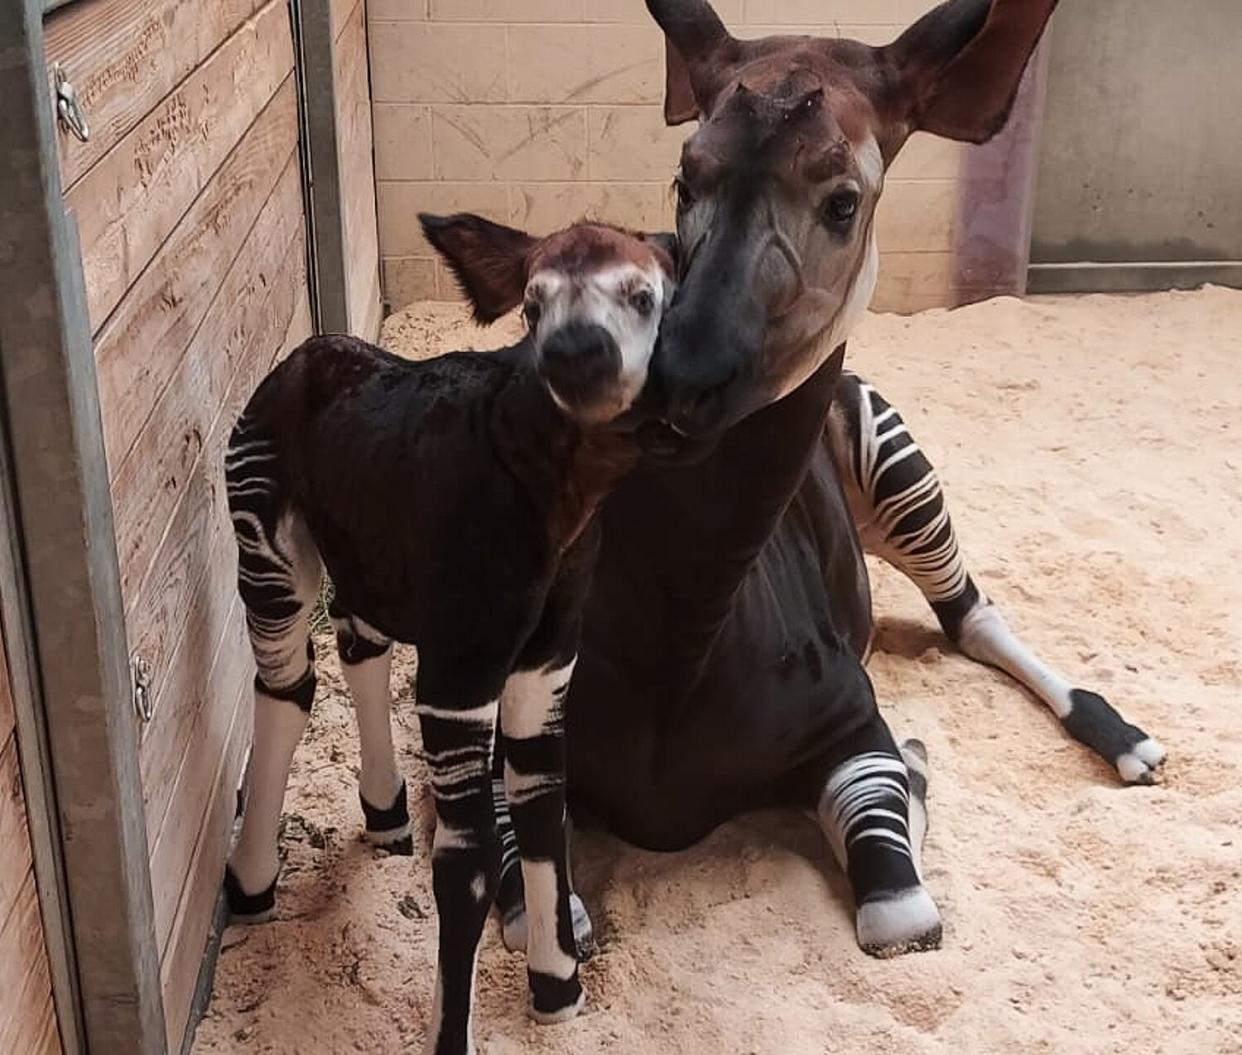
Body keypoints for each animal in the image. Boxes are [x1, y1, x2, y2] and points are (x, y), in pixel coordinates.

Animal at [221, 213, 670, 1053]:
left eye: (645, 295)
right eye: (533, 304)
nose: (577, 354)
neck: (555, 504)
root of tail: (303, 354)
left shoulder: (545, 664)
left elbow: (544, 813)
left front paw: (558, 986)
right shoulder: (461, 673)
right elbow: (465, 865)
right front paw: (452, 1033)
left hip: (362, 557)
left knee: (357, 645)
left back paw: (385, 810)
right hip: (264, 540)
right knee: (286, 684)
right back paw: (253, 879)